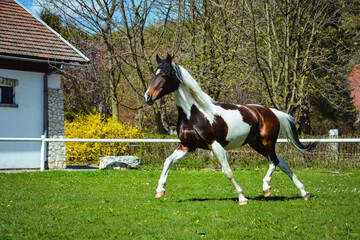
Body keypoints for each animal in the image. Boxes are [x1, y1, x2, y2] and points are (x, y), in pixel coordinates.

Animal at [145, 54, 316, 204]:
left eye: (165, 75)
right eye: (155, 74)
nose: (147, 97)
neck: (194, 113)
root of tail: (271, 112)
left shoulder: (215, 145)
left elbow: (227, 172)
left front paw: (242, 198)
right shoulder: (187, 146)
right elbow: (168, 161)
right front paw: (160, 190)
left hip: (267, 142)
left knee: (274, 161)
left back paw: (266, 188)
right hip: (257, 144)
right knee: (282, 163)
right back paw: (304, 193)